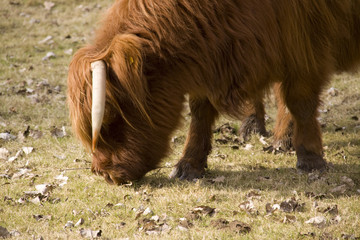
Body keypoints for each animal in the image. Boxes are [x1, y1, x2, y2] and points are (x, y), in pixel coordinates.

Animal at [67, 0, 360, 184]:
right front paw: (189, 165)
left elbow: (301, 101)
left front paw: (311, 158)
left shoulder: (304, 43)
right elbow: (200, 112)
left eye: (110, 116)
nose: (101, 172)